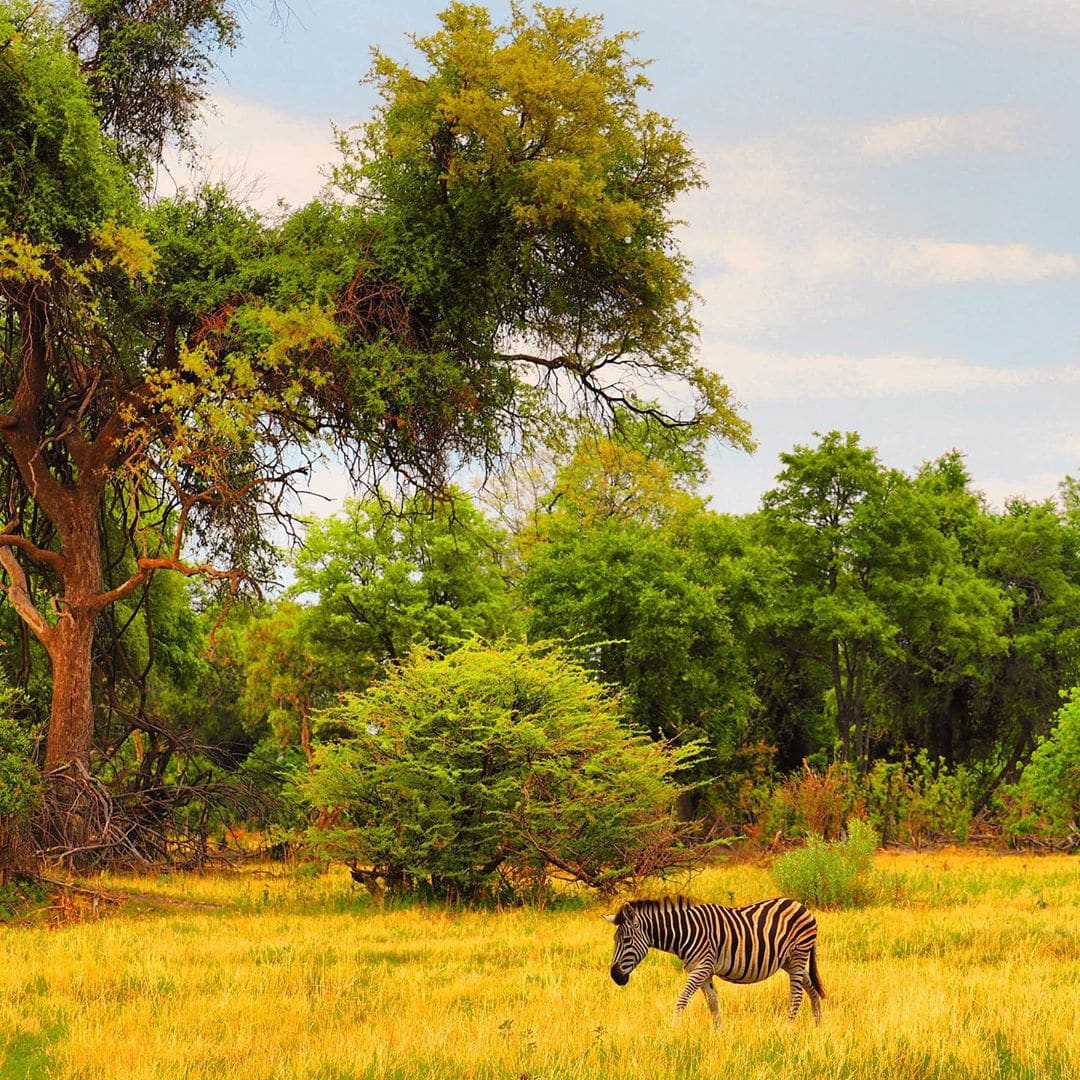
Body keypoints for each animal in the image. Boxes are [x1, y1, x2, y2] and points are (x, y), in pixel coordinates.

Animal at [604, 895, 825, 1027]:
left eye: (626, 940)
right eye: (614, 940)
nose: (615, 976)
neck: (685, 932)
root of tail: (802, 906)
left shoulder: (702, 967)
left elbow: (682, 999)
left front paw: (673, 1029)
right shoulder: (703, 970)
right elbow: (713, 1002)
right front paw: (719, 1032)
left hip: (798, 955)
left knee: (797, 994)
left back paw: (788, 1028)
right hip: (790, 961)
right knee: (812, 989)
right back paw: (817, 1025)